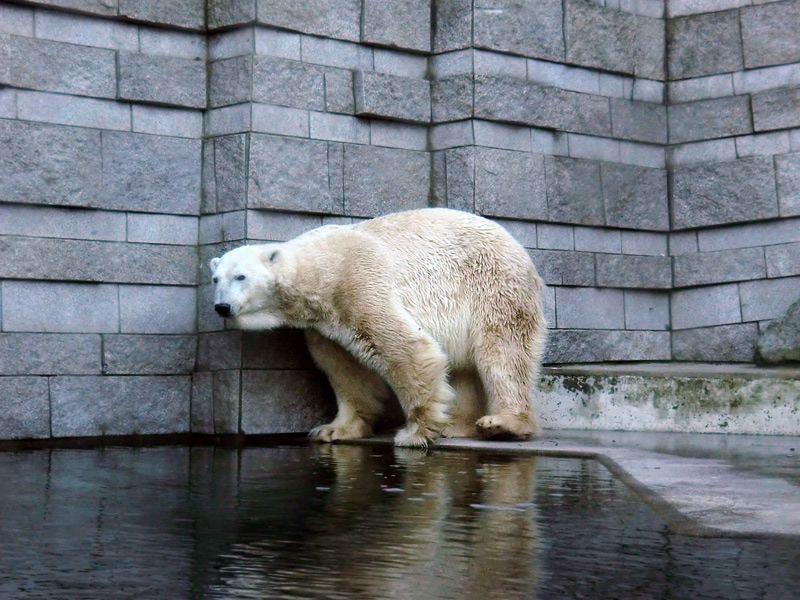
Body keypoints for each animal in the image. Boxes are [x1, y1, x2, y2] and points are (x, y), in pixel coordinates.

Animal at [211, 209, 552, 448]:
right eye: (216, 279)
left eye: (240, 276)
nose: (221, 307)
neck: (321, 268)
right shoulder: (325, 324)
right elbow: (347, 369)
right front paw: (333, 429)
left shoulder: (357, 282)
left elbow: (406, 349)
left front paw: (416, 432)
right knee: (466, 368)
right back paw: (457, 425)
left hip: (495, 285)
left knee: (504, 351)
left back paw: (504, 423)